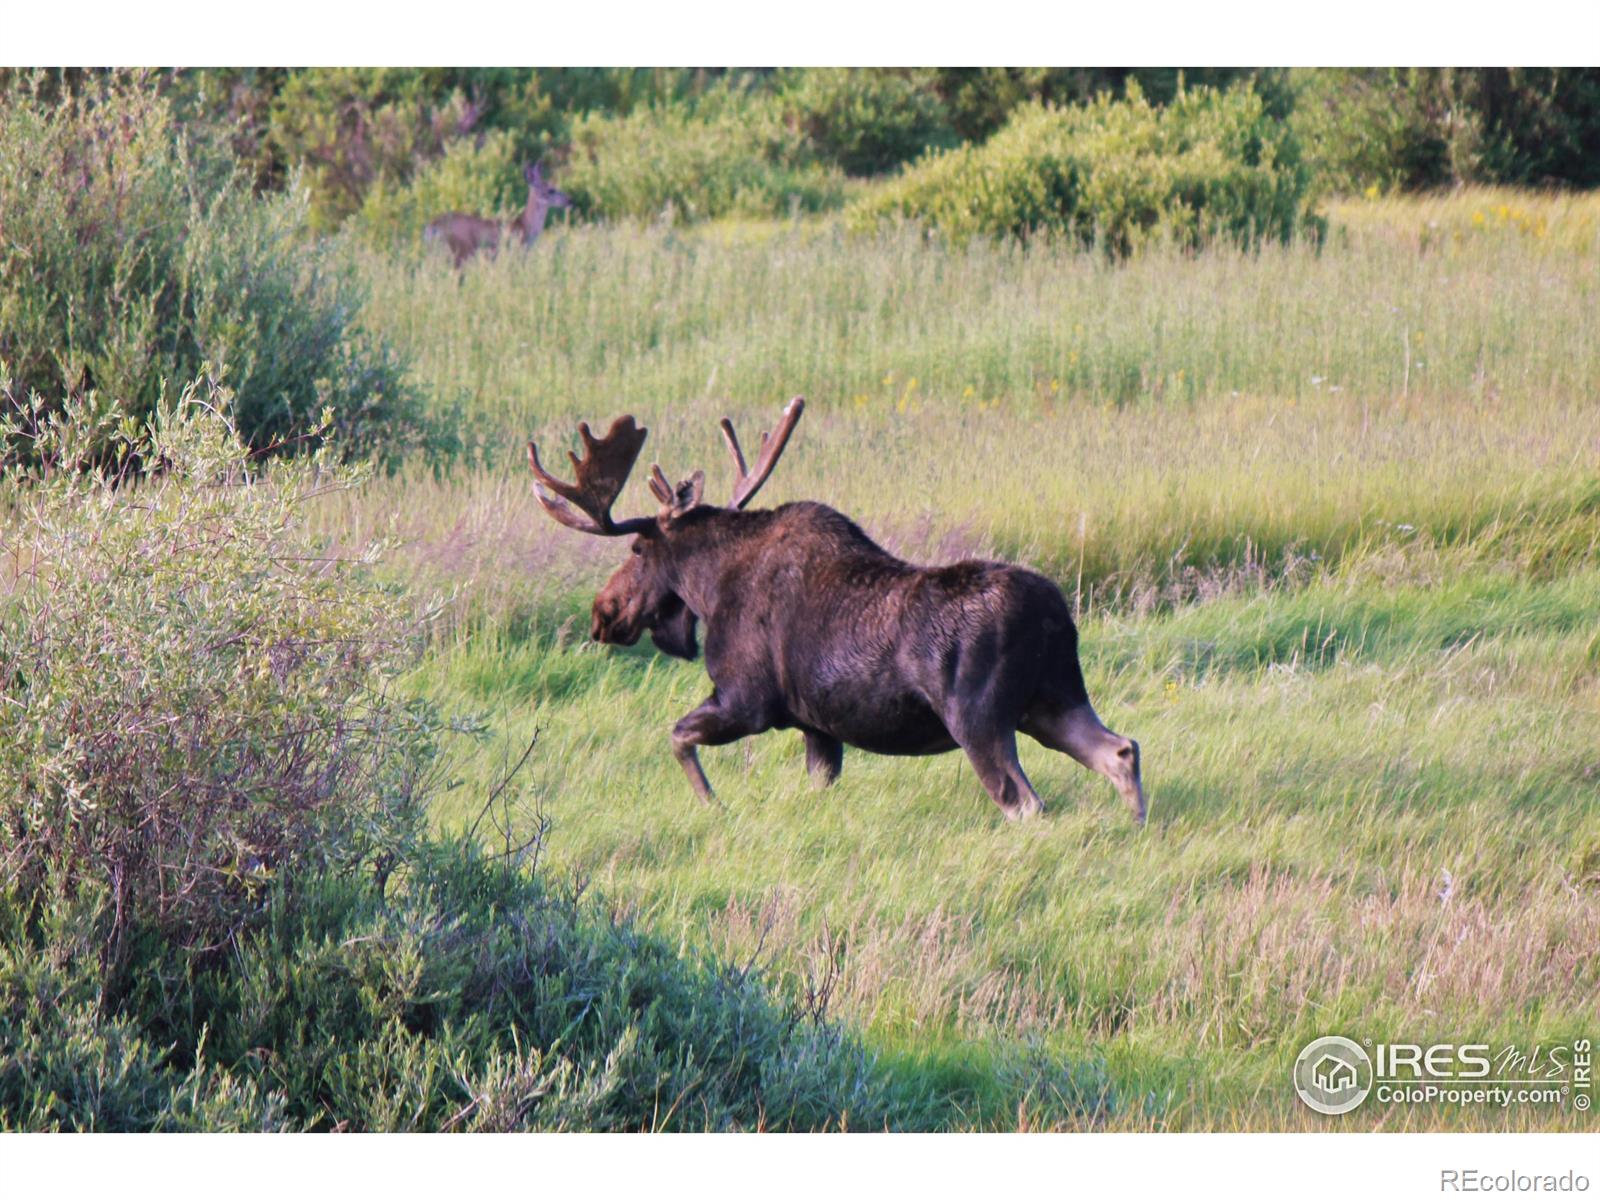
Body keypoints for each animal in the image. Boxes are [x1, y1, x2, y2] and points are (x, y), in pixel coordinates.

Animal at [422, 160, 572, 267]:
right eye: (551, 190)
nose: (570, 200)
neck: (525, 226)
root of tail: (432, 227)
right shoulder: (517, 254)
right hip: (461, 252)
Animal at [531, 400, 1145, 825]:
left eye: (637, 549)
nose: (603, 613)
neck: (709, 588)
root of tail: (1055, 618)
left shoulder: (746, 701)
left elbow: (678, 736)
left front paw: (714, 806)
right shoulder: (817, 727)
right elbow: (816, 783)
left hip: (980, 718)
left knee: (1026, 802)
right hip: (1052, 700)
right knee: (1121, 749)